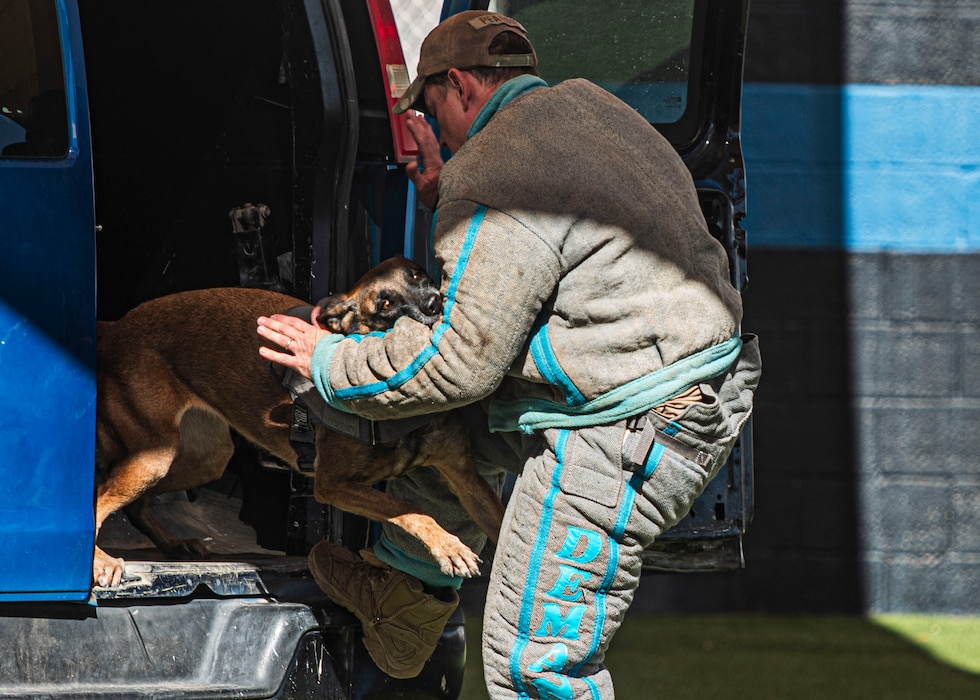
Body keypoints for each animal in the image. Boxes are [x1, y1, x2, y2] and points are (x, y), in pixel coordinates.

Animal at [94, 254, 506, 588]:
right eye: (386, 304)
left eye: (418, 275)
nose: (435, 304)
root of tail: (116, 327)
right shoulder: (333, 485)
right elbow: (409, 510)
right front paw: (448, 546)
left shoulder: (465, 476)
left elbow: (503, 521)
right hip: (155, 457)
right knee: (98, 499)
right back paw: (100, 562)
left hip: (203, 458)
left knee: (133, 504)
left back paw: (174, 543)